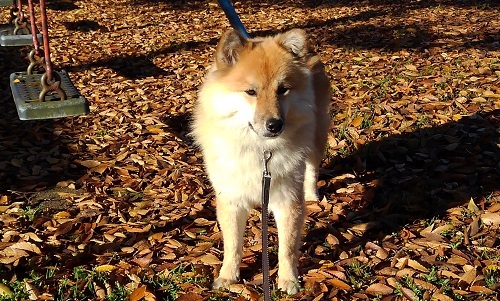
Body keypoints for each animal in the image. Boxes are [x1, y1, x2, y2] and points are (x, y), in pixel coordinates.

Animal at [191, 28, 332, 292]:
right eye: (251, 92)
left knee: (311, 168)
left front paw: (288, 280)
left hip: (315, 138)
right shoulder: (231, 199)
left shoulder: (288, 201)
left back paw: (312, 194)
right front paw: (228, 275)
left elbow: (286, 249)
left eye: (282, 89)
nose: (275, 124)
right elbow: (233, 245)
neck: (260, 150)